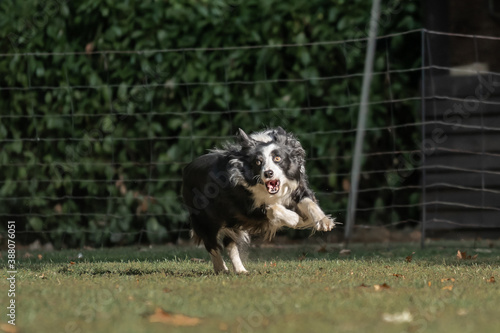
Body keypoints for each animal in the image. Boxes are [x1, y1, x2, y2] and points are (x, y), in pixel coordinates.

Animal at [181, 127, 336, 272]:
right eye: (258, 162)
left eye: (277, 158)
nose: (268, 173)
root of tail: (187, 168)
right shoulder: (243, 207)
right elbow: (272, 208)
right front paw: (295, 219)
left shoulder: (297, 188)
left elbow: (308, 202)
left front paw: (323, 221)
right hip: (206, 217)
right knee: (211, 243)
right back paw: (221, 268)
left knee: (229, 243)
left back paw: (240, 270)